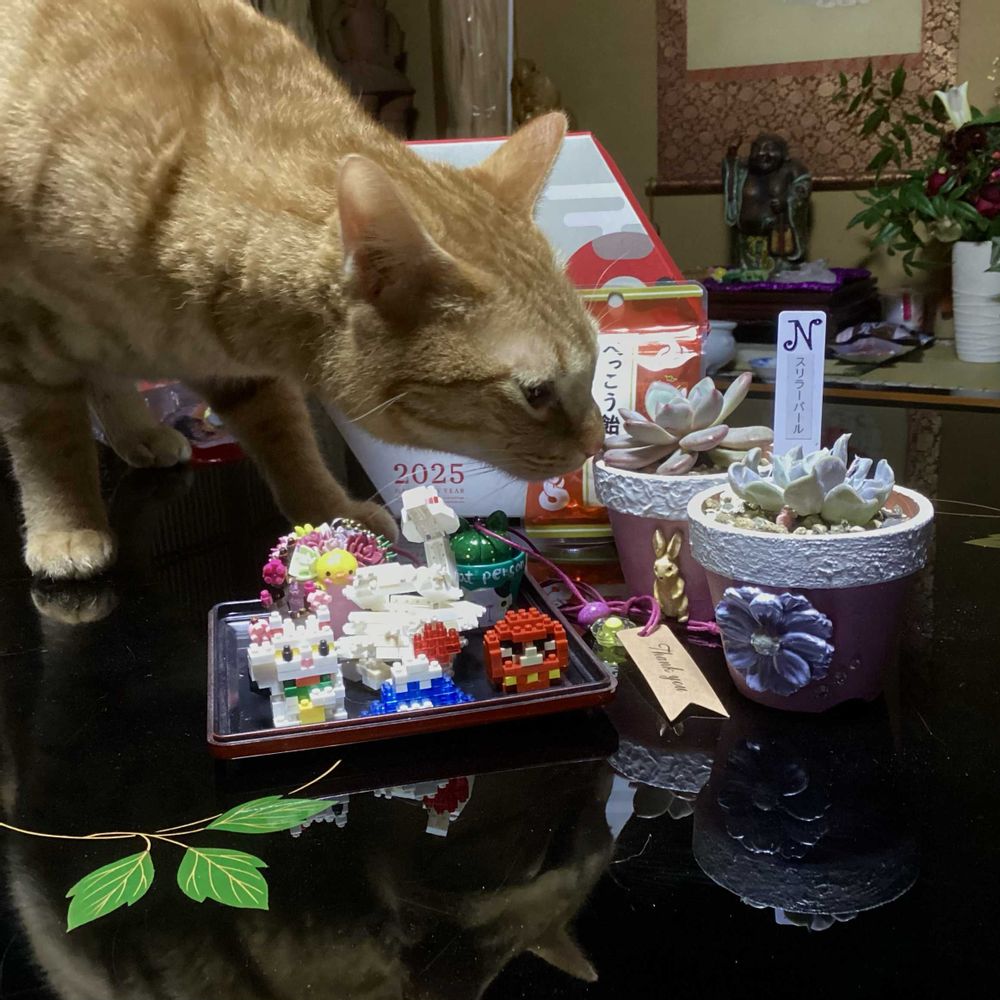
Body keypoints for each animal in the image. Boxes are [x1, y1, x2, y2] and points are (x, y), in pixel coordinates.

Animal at [0, 0, 603, 580]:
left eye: (595, 367)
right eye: (536, 393)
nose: (598, 442)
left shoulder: (238, 365)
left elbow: (287, 439)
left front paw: (330, 510)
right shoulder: (23, 343)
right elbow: (48, 441)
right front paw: (66, 526)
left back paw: (138, 431)